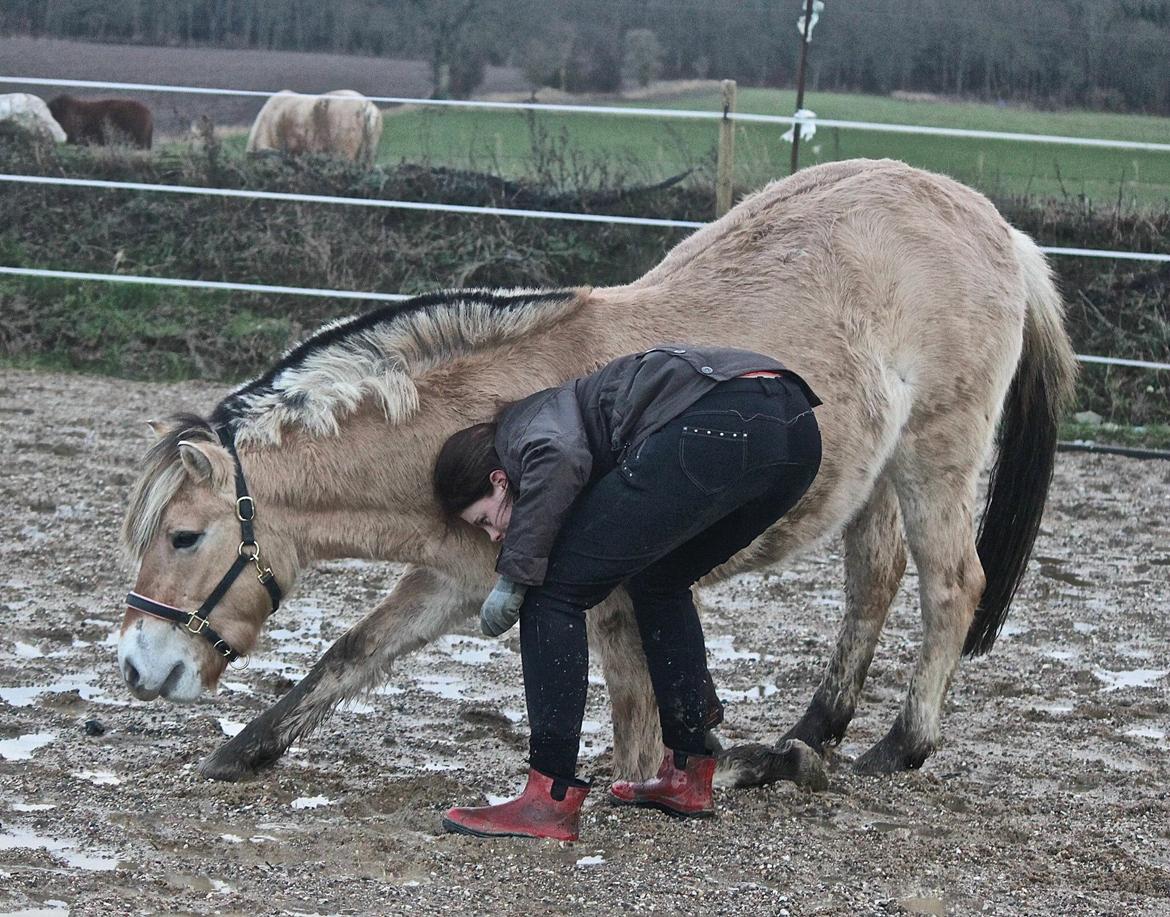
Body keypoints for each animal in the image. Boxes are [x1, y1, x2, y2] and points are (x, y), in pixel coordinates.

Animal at [118, 159, 1076, 785]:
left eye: (185, 535)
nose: (134, 664)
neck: (489, 414)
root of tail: (999, 229)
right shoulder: (455, 578)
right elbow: (352, 652)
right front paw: (243, 750)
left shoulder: (600, 588)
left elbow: (632, 719)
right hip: (872, 476)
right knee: (872, 583)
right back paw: (807, 736)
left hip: (934, 453)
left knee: (951, 585)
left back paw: (896, 747)